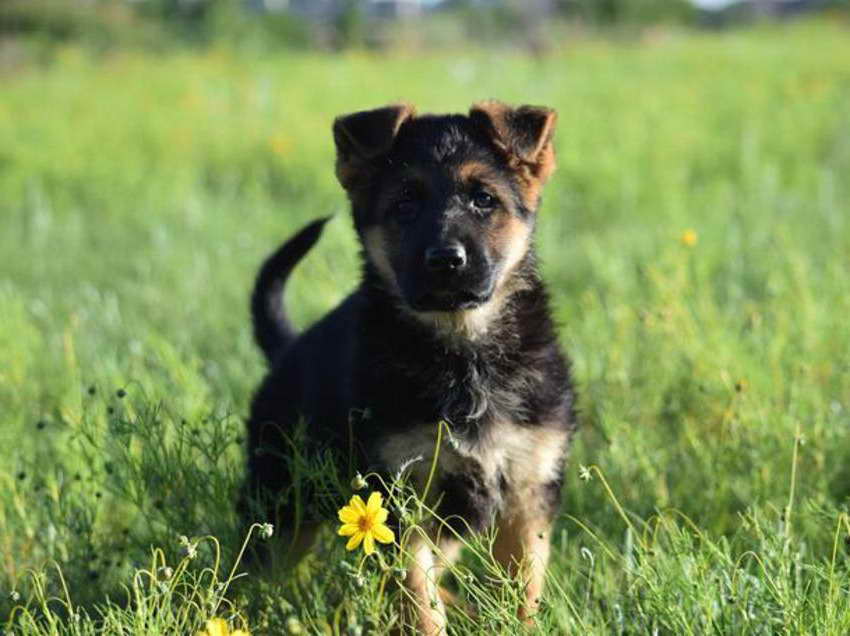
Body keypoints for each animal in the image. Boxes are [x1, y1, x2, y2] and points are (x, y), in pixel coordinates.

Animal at [242, 102, 580, 632]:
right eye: (404, 205)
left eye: (484, 199)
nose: (446, 260)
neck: (463, 351)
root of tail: (288, 350)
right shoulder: (397, 501)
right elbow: (417, 602)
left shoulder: (527, 493)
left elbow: (522, 592)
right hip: (281, 505)